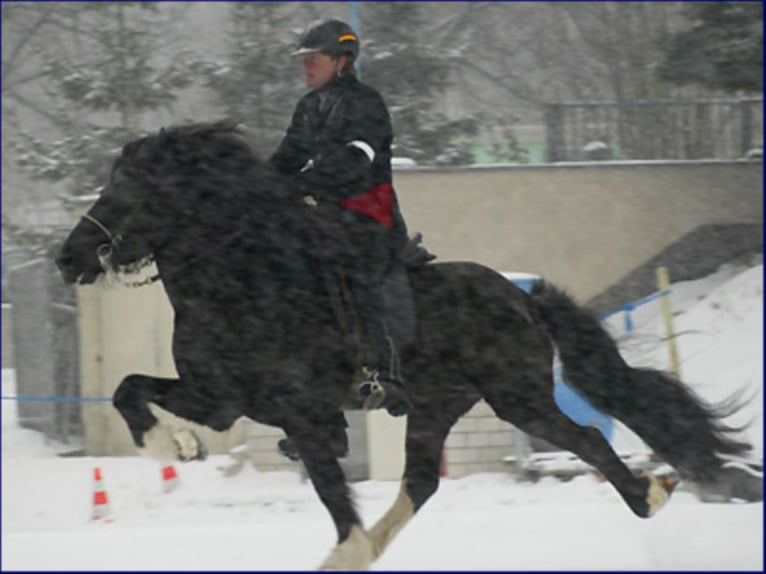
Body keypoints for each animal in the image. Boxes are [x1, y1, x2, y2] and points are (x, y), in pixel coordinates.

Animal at [57, 121, 752, 572]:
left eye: (128, 190)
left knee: (586, 438)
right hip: (437, 405)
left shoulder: (298, 412)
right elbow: (128, 389)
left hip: (517, 397)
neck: (244, 280)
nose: (69, 258)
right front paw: (170, 446)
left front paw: (348, 546)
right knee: (421, 480)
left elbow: (331, 489)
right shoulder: (221, 398)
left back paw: (649, 495)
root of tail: (521, 296)